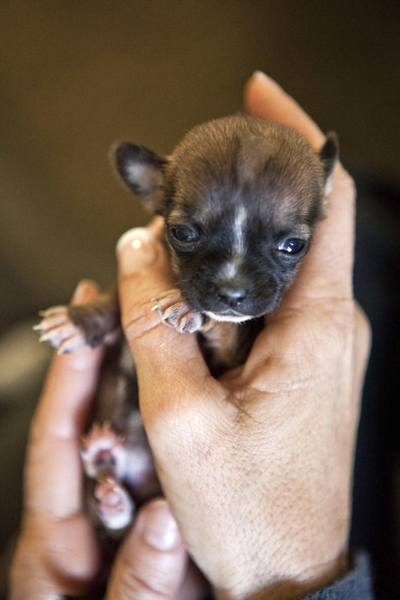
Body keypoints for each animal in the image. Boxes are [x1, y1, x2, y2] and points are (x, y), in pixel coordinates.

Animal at [36, 115, 340, 540]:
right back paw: (107, 473)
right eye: (182, 233)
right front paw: (77, 321)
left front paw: (194, 310)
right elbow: (113, 300)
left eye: (294, 246)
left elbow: (231, 332)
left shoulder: (235, 358)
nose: (232, 292)